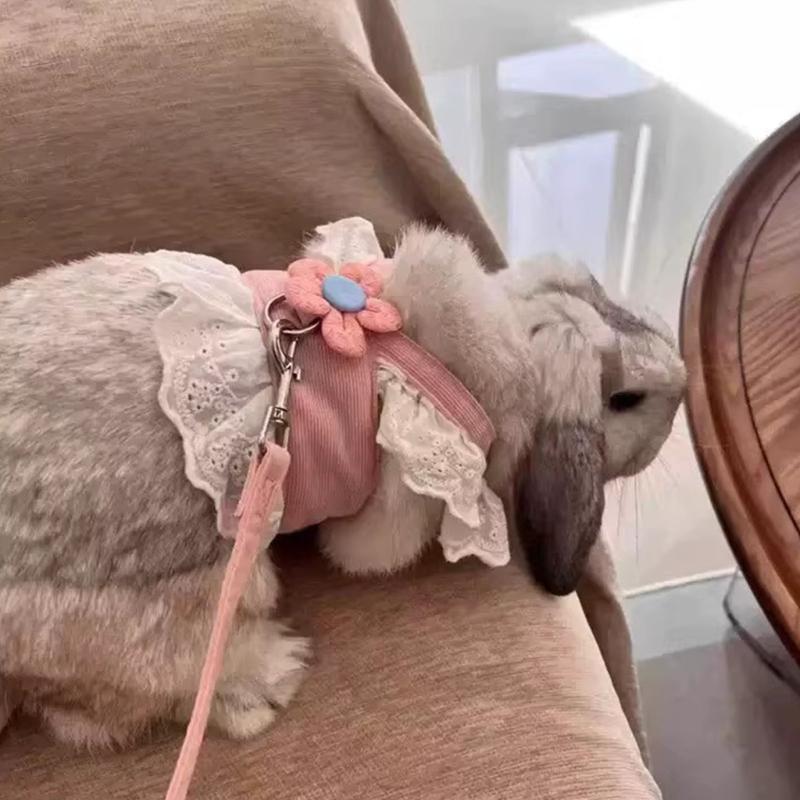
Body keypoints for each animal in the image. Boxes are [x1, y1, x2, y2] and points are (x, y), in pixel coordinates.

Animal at [0, 226, 685, 750]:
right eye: (625, 399)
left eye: (594, 285)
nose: (683, 380)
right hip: (192, 605)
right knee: (107, 709)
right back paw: (274, 673)